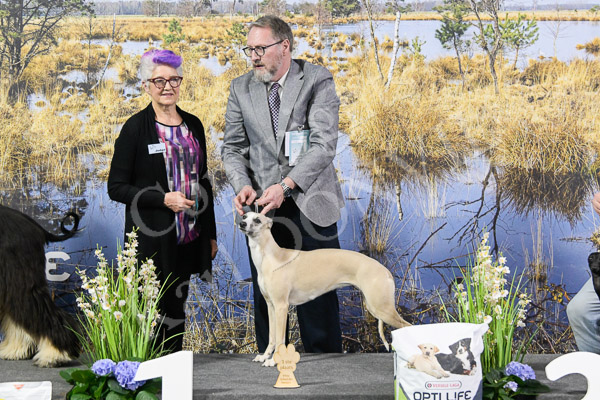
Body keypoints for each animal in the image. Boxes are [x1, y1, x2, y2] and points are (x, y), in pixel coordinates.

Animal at [238, 212, 411, 367]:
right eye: (245, 216)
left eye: (257, 219)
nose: (241, 223)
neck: (272, 257)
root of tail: (385, 270)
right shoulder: (271, 305)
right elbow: (272, 337)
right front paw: (264, 356)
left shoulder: (281, 306)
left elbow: (280, 338)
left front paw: (274, 361)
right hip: (374, 306)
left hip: (382, 308)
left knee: (408, 327)